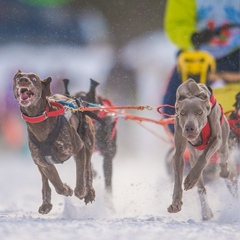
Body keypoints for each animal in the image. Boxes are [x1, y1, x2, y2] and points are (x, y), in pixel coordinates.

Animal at [12, 69, 95, 214]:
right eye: (17, 77)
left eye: (34, 78)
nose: (23, 80)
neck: (41, 122)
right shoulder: (44, 163)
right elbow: (56, 184)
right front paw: (66, 189)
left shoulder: (79, 149)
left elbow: (80, 183)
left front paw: (83, 192)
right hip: (39, 163)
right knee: (45, 181)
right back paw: (46, 204)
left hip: (88, 145)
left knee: (88, 169)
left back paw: (89, 192)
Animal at [168, 78, 237, 219]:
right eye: (182, 113)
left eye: (200, 112)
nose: (189, 127)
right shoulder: (179, 152)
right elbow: (178, 178)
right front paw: (176, 203)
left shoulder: (216, 139)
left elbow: (204, 158)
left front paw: (190, 180)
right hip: (193, 155)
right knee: (201, 186)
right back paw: (206, 212)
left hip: (224, 145)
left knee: (224, 166)